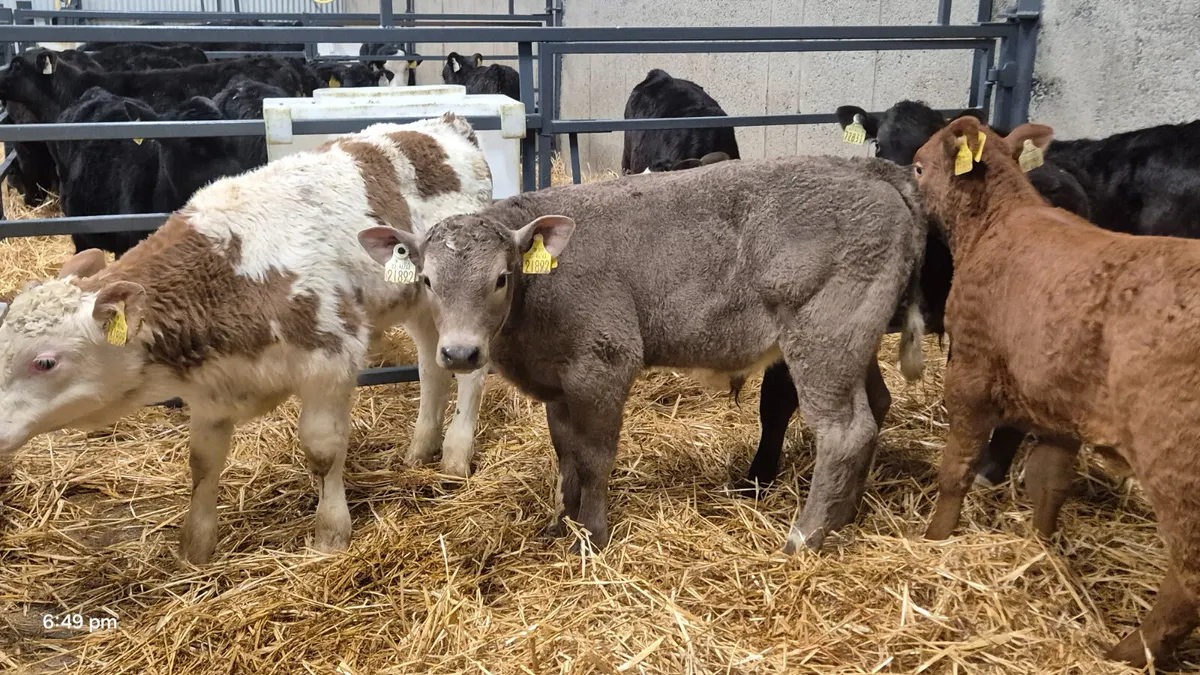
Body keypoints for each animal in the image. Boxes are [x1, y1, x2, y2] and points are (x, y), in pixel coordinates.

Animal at [0, 113, 494, 564]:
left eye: (45, 361)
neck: (230, 272)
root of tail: (444, 123)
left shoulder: (330, 359)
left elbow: (322, 449)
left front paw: (330, 534)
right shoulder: (211, 389)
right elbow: (202, 462)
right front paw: (195, 550)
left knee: (470, 369)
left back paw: (455, 452)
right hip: (421, 303)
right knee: (432, 366)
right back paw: (420, 448)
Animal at [357, 155, 927, 554]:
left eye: (501, 277)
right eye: (427, 280)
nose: (458, 352)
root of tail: (870, 169)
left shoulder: (603, 364)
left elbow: (595, 456)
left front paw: (592, 534)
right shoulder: (559, 382)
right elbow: (565, 451)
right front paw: (559, 522)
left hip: (824, 336)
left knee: (844, 431)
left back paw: (804, 537)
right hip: (853, 342)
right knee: (876, 408)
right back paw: (845, 516)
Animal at [914, 114, 1200, 668]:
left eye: (918, 165)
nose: (907, 180)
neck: (997, 222)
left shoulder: (971, 372)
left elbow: (956, 468)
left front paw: (935, 538)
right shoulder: (1060, 404)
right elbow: (1049, 483)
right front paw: (1040, 548)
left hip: (1179, 470)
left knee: (1188, 581)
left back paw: (1127, 652)